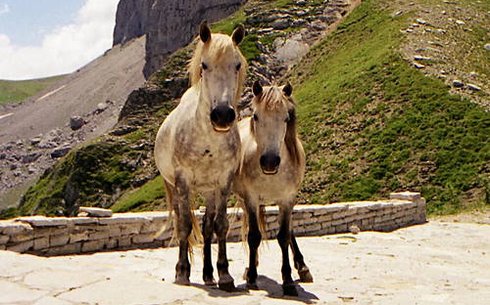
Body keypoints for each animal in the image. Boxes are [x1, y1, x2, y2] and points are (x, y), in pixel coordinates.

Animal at [153, 22, 245, 290]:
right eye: (204, 65)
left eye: (237, 65)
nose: (222, 115)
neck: (207, 141)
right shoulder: (183, 181)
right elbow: (184, 225)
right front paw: (183, 272)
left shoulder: (223, 183)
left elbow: (220, 226)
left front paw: (224, 274)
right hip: (178, 189)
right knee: (182, 222)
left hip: (209, 191)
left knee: (206, 228)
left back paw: (208, 274)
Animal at [232, 81, 312, 294]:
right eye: (256, 116)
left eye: (286, 118)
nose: (269, 162)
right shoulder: (251, 198)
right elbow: (253, 236)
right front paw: (252, 277)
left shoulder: (287, 199)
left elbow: (284, 236)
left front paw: (288, 280)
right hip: (245, 200)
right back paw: (251, 266)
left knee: (289, 230)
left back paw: (302, 267)